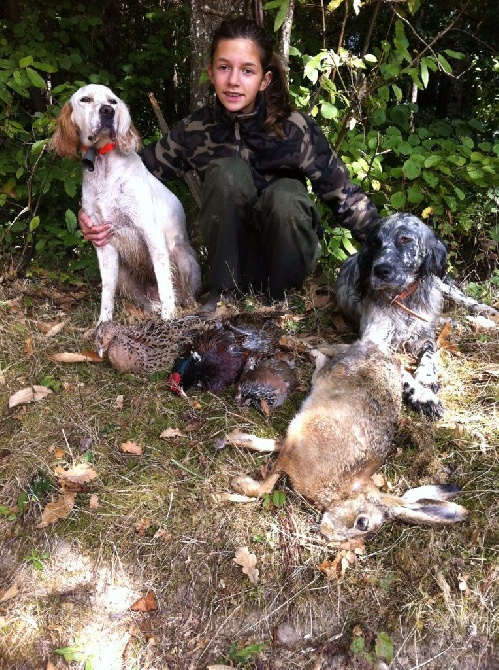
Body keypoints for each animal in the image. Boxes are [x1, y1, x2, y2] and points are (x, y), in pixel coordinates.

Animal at [50, 84, 199, 326]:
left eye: (113, 101)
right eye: (85, 99)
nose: (107, 111)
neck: (103, 167)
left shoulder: (151, 232)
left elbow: (164, 282)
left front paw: (168, 317)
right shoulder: (104, 242)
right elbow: (107, 291)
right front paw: (104, 323)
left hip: (181, 255)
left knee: (184, 294)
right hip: (124, 274)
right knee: (144, 299)